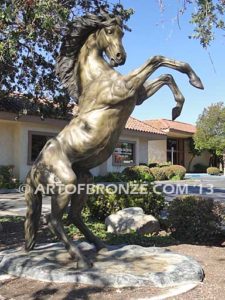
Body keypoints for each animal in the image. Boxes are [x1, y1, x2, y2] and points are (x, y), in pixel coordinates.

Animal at [24, 12, 204, 268]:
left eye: (122, 33)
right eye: (109, 31)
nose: (120, 57)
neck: (96, 77)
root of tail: (34, 170)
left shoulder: (137, 96)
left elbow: (165, 74)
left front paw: (183, 100)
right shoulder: (125, 88)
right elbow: (156, 60)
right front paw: (190, 89)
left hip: (84, 180)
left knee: (73, 216)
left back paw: (100, 246)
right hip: (65, 184)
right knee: (53, 220)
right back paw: (82, 260)